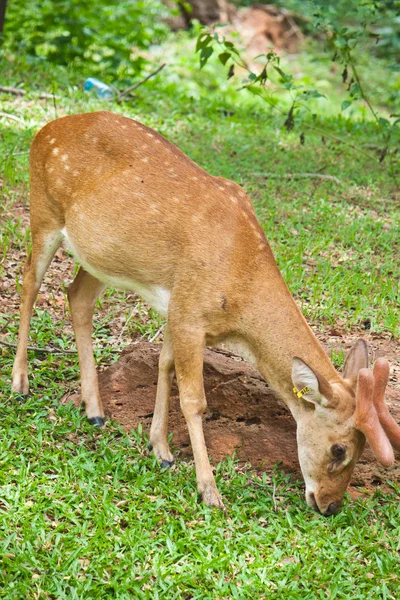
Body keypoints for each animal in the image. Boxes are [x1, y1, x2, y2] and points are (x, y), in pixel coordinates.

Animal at [10, 112, 398, 516]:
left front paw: (161, 450)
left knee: (77, 296)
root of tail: (46, 129)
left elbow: (164, 365)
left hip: (100, 256)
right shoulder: (190, 315)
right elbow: (194, 401)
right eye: (339, 449)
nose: (330, 505)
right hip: (44, 212)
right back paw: (20, 384)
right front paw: (208, 490)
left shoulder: (178, 309)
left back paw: (95, 410)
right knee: (29, 282)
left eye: (362, 449)